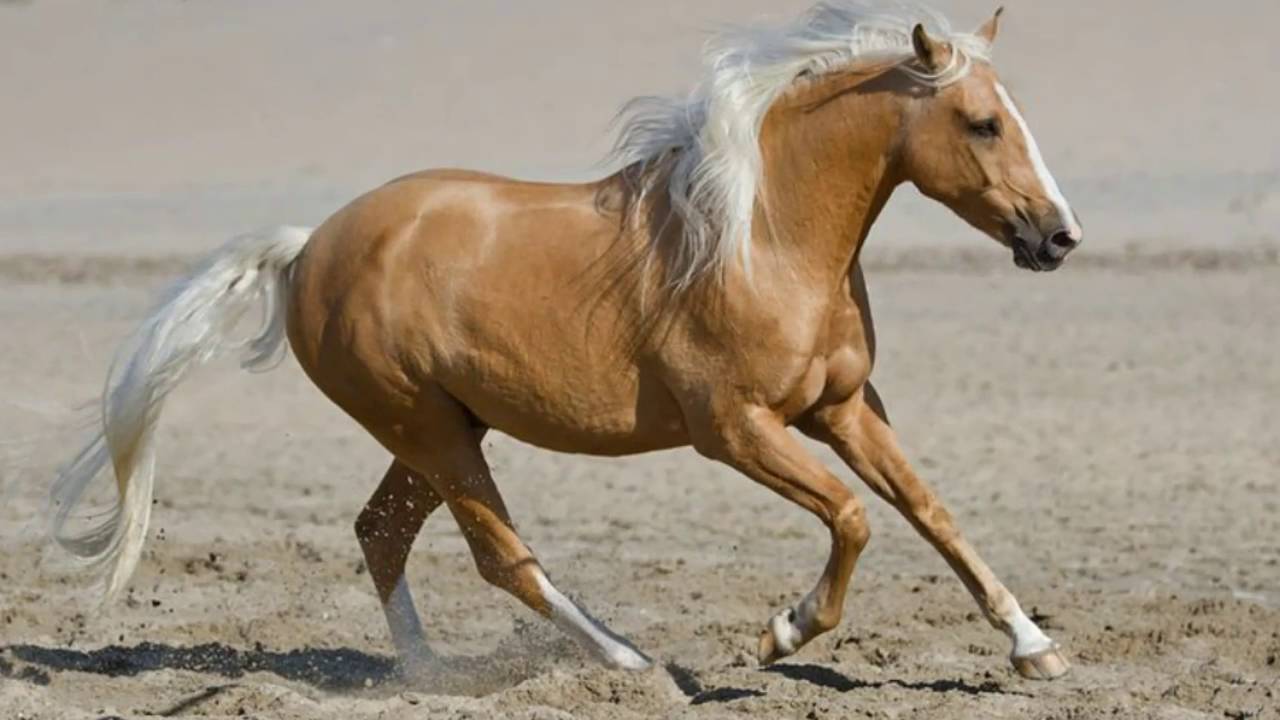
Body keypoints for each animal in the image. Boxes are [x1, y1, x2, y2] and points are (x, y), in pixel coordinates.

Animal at [49, 1, 1080, 676]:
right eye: (982, 123)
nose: (1059, 237)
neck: (761, 239)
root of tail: (307, 249)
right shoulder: (735, 430)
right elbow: (856, 517)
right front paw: (780, 633)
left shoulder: (843, 407)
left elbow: (930, 511)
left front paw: (1034, 646)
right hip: (429, 430)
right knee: (500, 557)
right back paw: (632, 665)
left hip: (440, 431)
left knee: (382, 534)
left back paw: (431, 676)